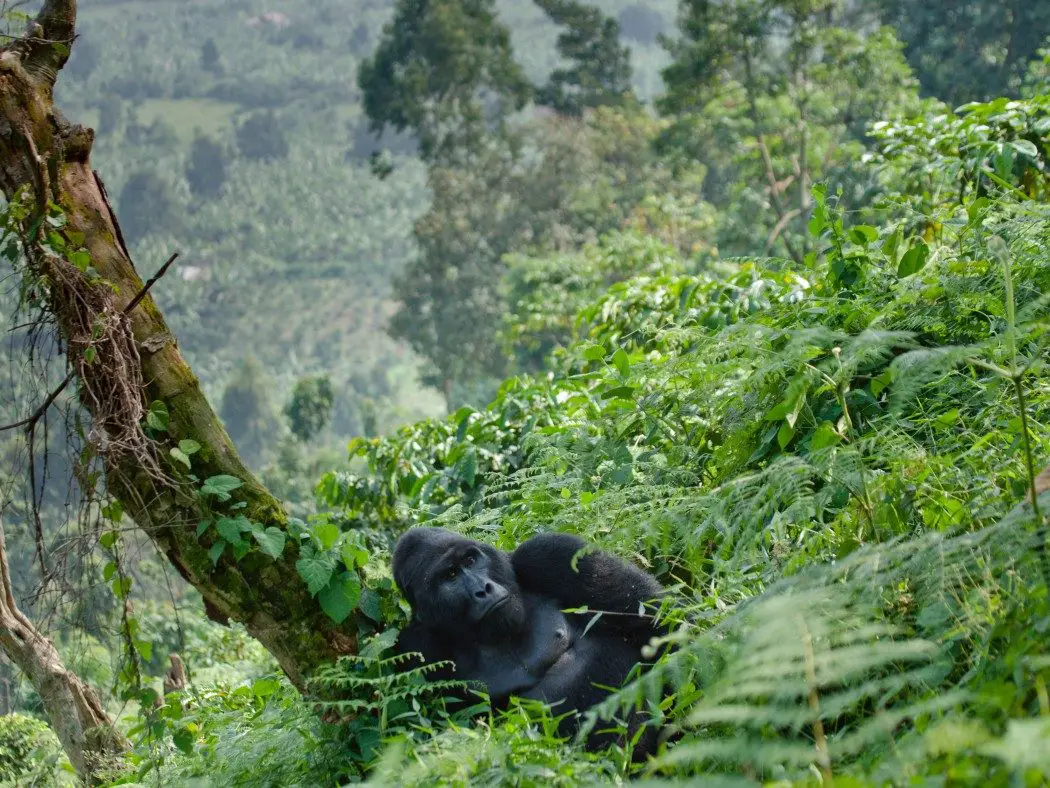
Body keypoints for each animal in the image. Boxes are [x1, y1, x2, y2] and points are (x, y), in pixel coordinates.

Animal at [390, 527, 667, 748]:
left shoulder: (550, 554)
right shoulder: (417, 645)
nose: (483, 589)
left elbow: (656, 620)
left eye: (470, 560)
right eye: (450, 576)